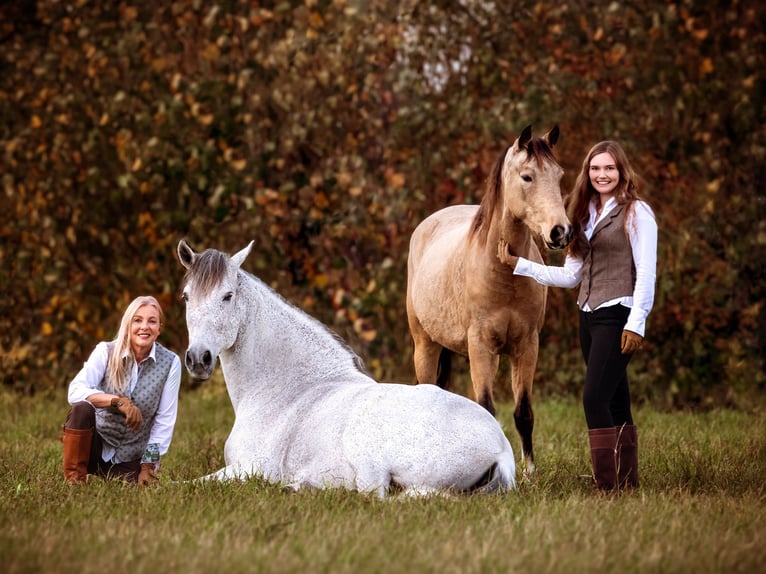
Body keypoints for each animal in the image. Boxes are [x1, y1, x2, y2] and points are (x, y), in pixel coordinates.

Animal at [408, 125, 568, 472]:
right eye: (527, 177)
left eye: (559, 175)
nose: (561, 232)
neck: (503, 275)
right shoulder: (481, 346)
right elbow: (486, 410)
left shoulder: (526, 346)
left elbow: (524, 413)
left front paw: (530, 472)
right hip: (425, 345)